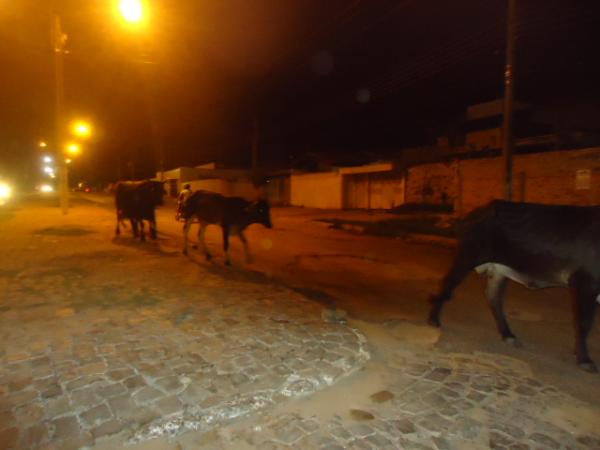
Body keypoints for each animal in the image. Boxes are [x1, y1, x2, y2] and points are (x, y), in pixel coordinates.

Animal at [428, 200, 600, 372]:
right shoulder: (586, 284)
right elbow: (584, 323)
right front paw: (585, 360)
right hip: (469, 256)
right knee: (448, 284)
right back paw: (433, 319)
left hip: (498, 270)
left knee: (493, 298)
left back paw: (508, 335)